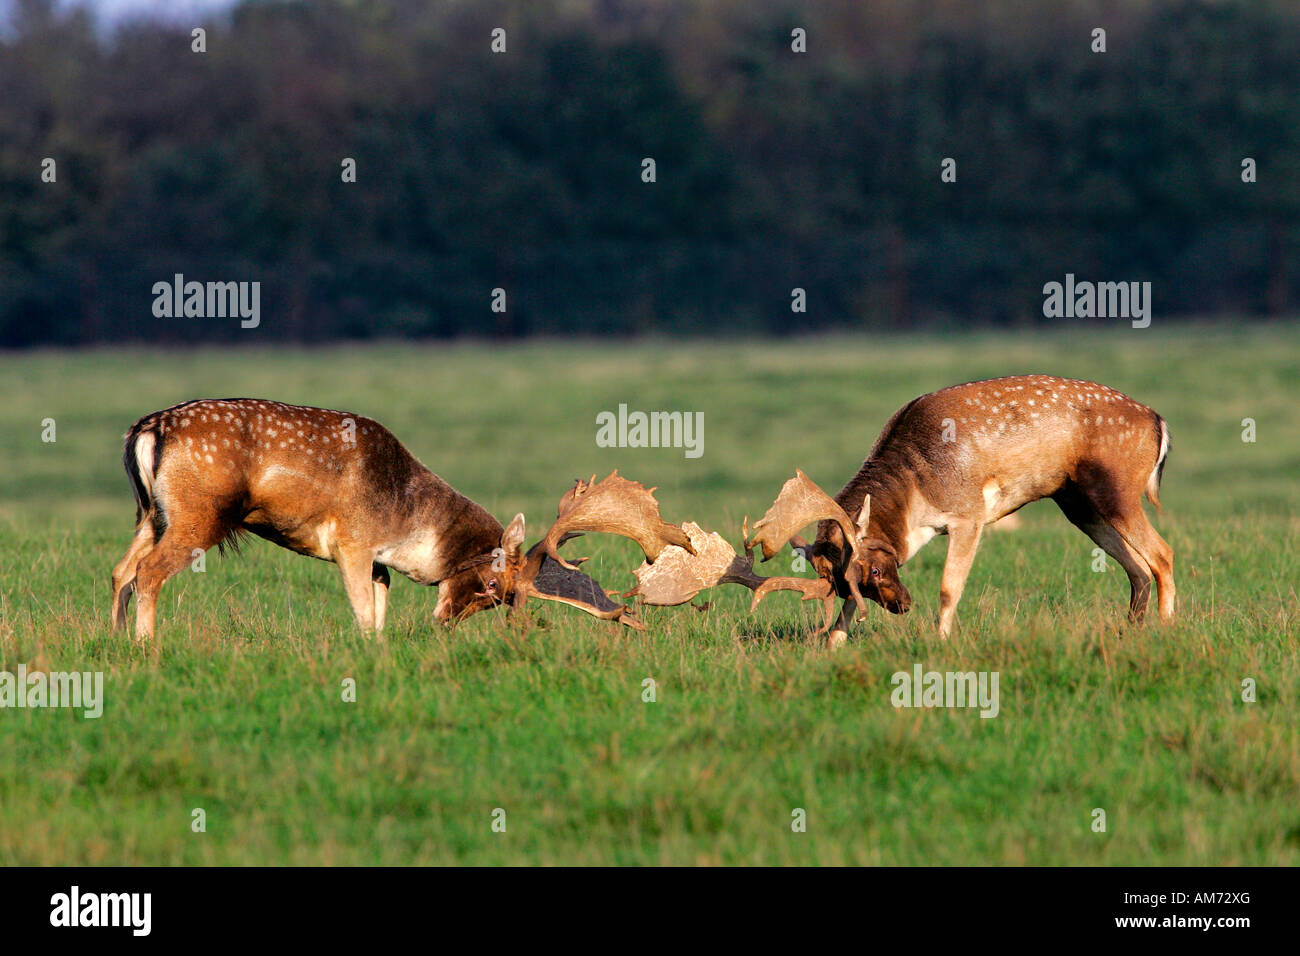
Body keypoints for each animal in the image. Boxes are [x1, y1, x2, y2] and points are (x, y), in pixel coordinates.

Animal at [631, 377, 1180, 647]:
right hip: (1077, 503)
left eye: (875, 569)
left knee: (1163, 554)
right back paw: (1130, 631)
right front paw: (833, 643)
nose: (902, 606)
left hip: (1117, 489)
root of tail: (1159, 422)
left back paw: (1167, 629)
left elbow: (950, 586)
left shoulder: (969, 514)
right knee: (1137, 568)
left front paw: (940, 641)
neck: (917, 491)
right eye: (843, 583)